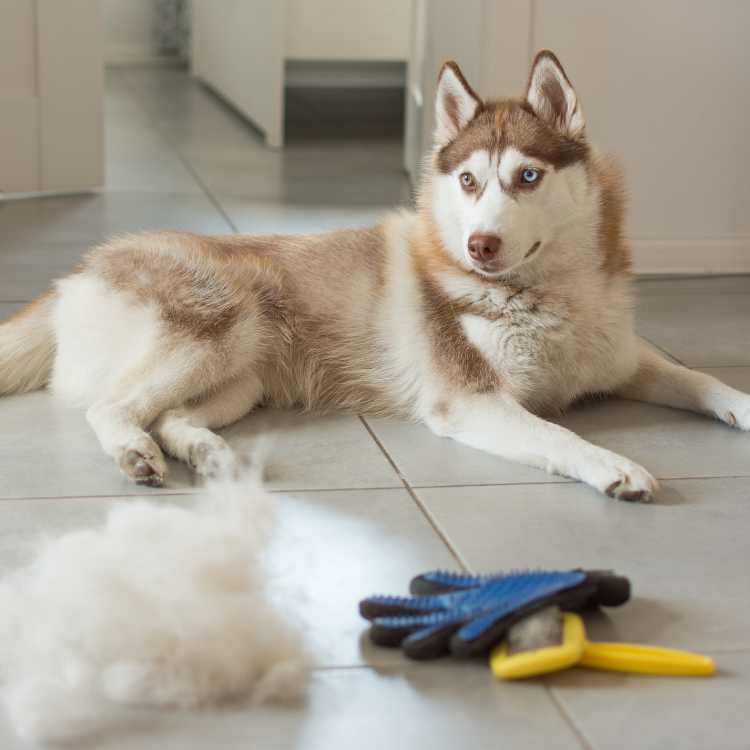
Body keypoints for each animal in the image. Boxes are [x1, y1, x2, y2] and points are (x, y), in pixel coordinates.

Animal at [1, 51, 750, 500]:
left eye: (528, 177)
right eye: (470, 180)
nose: (480, 244)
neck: (549, 296)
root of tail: (74, 274)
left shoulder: (623, 358)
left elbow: (698, 378)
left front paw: (741, 403)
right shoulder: (471, 401)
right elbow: (560, 436)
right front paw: (614, 465)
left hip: (241, 378)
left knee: (171, 415)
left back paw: (207, 453)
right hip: (222, 321)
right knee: (113, 408)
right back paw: (135, 453)